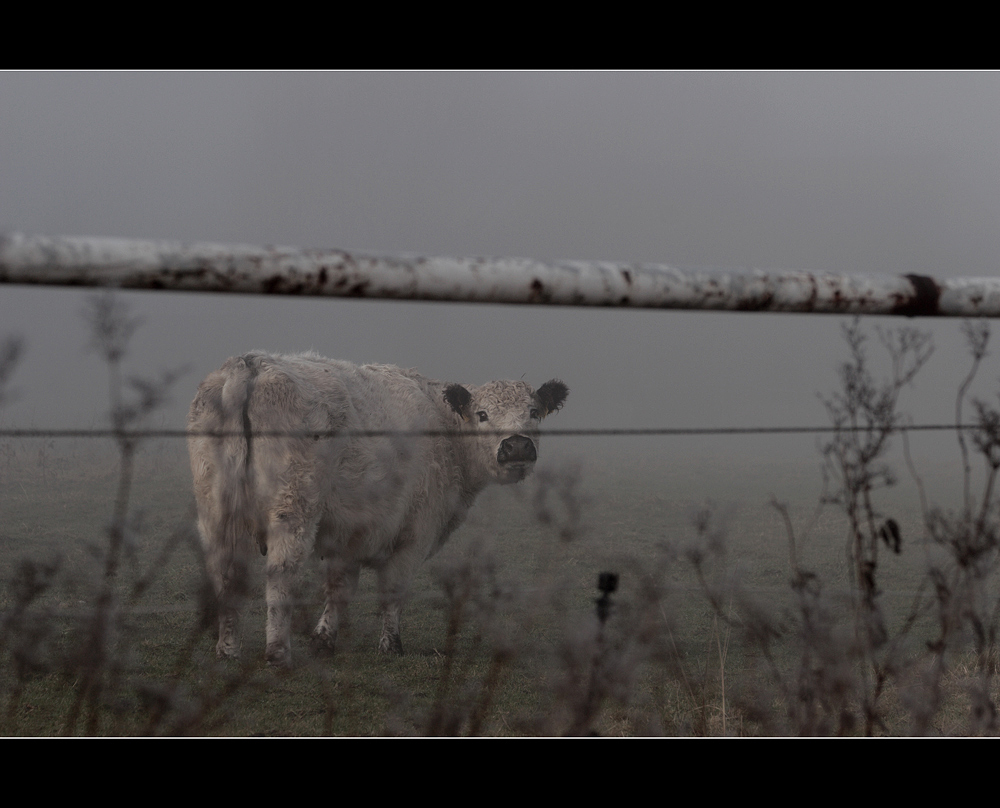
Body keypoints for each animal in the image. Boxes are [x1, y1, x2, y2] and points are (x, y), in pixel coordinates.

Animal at [186, 350, 564, 664]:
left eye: (533, 413)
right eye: (483, 415)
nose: (517, 446)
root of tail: (250, 364)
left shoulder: (351, 533)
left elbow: (339, 589)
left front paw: (324, 641)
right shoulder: (415, 533)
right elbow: (392, 591)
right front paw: (391, 645)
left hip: (215, 510)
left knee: (224, 572)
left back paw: (228, 649)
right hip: (293, 508)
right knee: (281, 574)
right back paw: (278, 652)